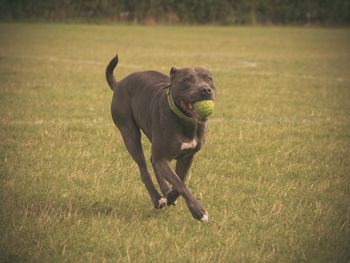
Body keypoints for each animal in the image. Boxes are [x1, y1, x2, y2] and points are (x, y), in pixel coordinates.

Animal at [106, 55, 216, 223]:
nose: (205, 90)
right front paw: (199, 211)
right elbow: (180, 184)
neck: (186, 120)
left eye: (209, 78)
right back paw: (157, 199)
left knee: (153, 162)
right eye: (186, 80)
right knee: (144, 169)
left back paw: (164, 193)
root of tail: (119, 84)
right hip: (130, 134)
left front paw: (170, 195)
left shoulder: (187, 157)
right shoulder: (162, 158)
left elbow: (180, 182)